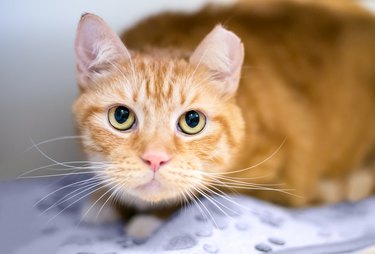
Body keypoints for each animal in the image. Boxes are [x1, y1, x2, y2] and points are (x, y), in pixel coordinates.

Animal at [72, 0, 375, 238]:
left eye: (192, 121)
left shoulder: (278, 183)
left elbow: (206, 192)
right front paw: (104, 200)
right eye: (121, 116)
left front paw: (151, 219)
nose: (155, 159)